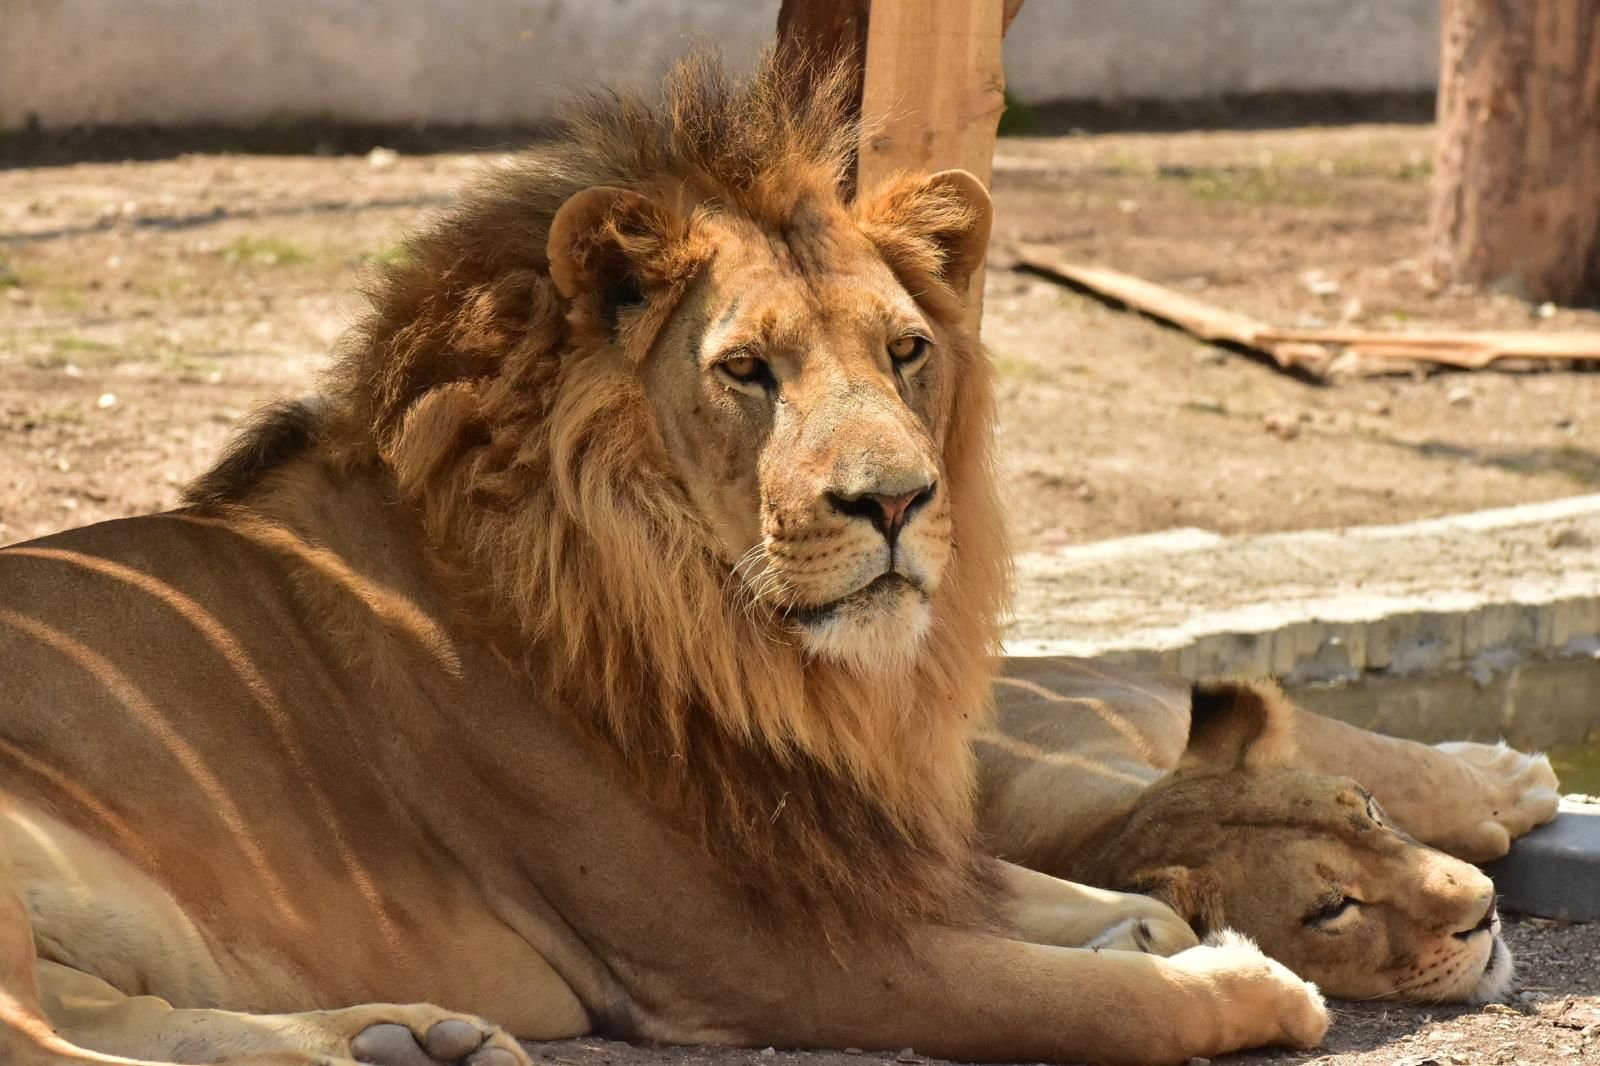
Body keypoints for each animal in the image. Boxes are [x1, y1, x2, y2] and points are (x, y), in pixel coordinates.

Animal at [977, 660, 1560, 1003]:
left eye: (1370, 811)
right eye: (1332, 909)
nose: (1485, 908)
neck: (1105, 820)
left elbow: (1404, 763)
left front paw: (1515, 780)